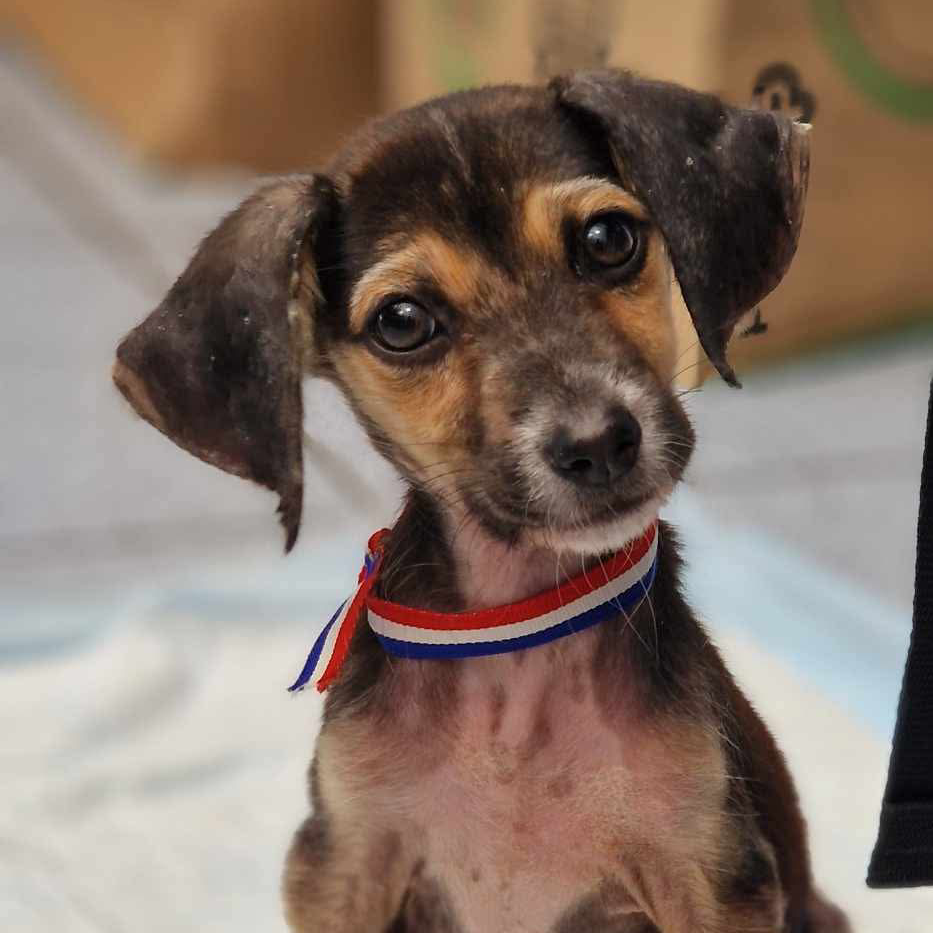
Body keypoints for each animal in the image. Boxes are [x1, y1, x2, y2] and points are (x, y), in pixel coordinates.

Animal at [113, 69, 850, 932]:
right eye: (402, 322)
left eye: (607, 240)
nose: (597, 442)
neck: (517, 632)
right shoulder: (343, 860)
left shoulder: (710, 873)